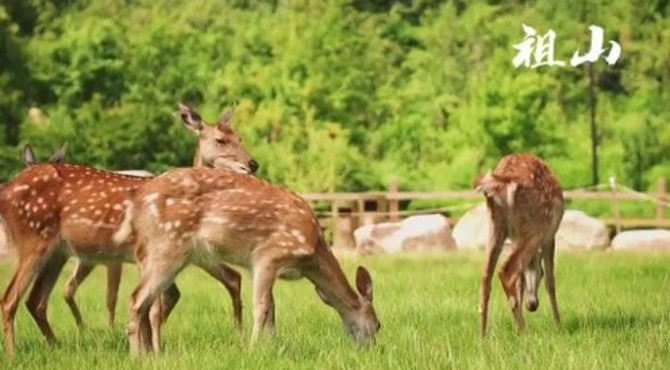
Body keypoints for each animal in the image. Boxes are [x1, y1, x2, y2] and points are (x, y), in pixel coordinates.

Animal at [0, 102, 258, 356]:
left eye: (241, 137)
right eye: (220, 140)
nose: (253, 164)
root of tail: (6, 190)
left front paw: (148, 350)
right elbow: (152, 307)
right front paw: (152, 351)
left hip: (57, 251)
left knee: (35, 300)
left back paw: (56, 347)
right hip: (35, 240)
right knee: (11, 298)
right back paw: (14, 355)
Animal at [119, 167, 384, 352]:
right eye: (379, 324)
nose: (372, 348)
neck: (312, 255)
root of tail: (137, 204)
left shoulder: (257, 266)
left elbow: (273, 309)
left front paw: (273, 346)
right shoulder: (269, 254)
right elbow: (262, 307)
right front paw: (253, 348)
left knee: (147, 303)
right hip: (167, 244)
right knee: (137, 298)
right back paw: (138, 355)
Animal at [476, 152, 564, 336]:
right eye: (540, 273)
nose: (532, 304)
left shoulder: (516, 238)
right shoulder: (549, 236)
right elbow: (551, 281)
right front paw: (559, 325)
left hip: (496, 225)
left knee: (486, 276)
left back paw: (483, 335)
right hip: (537, 226)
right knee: (507, 271)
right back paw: (524, 331)